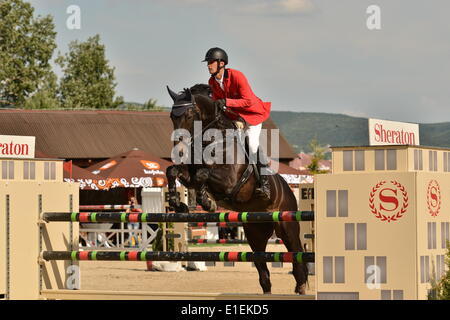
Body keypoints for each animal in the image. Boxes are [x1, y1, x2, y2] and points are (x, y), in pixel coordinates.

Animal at [165, 85, 310, 296]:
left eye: (190, 114)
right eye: (172, 116)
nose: (179, 151)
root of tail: (288, 190)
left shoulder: (229, 181)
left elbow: (203, 174)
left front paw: (206, 201)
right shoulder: (189, 174)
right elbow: (174, 171)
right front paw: (179, 204)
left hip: (286, 225)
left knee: (296, 255)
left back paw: (300, 288)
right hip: (255, 232)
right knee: (263, 269)